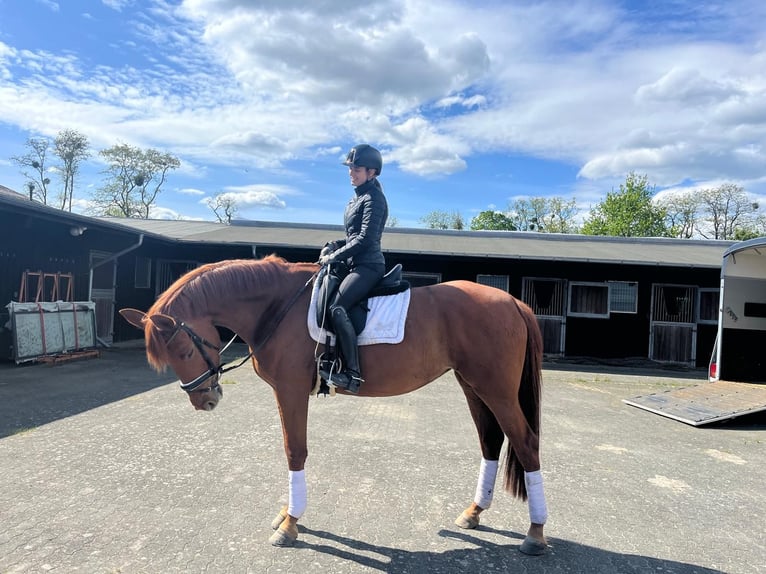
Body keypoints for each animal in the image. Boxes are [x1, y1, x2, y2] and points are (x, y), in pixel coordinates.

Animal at [120, 255, 549, 555]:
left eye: (180, 349)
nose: (204, 400)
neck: (276, 306)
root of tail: (513, 302)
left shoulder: (290, 390)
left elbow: (294, 451)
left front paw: (290, 524)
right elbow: (292, 450)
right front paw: (287, 515)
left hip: (495, 389)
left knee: (526, 443)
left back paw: (536, 533)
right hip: (472, 385)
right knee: (491, 442)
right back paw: (474, 513)